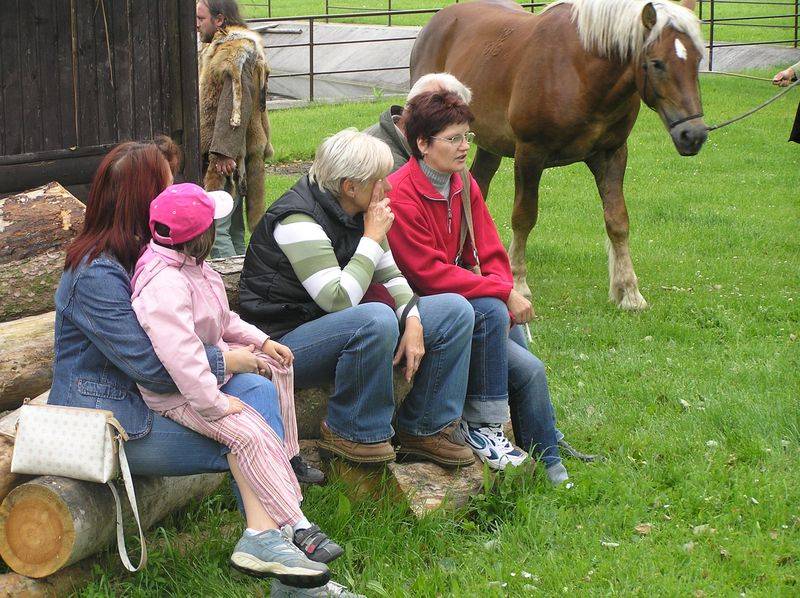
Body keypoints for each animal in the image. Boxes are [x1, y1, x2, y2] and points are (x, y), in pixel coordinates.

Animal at [410, 0, 707, 311]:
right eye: (657, 63)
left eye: (698, 59)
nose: (693, 135)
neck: (579, 71)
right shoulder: (530, 154)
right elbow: (524, 216)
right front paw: (518, 281)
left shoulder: (612, 154)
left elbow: (617, 221)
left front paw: (628, 292)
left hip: (488, 145)